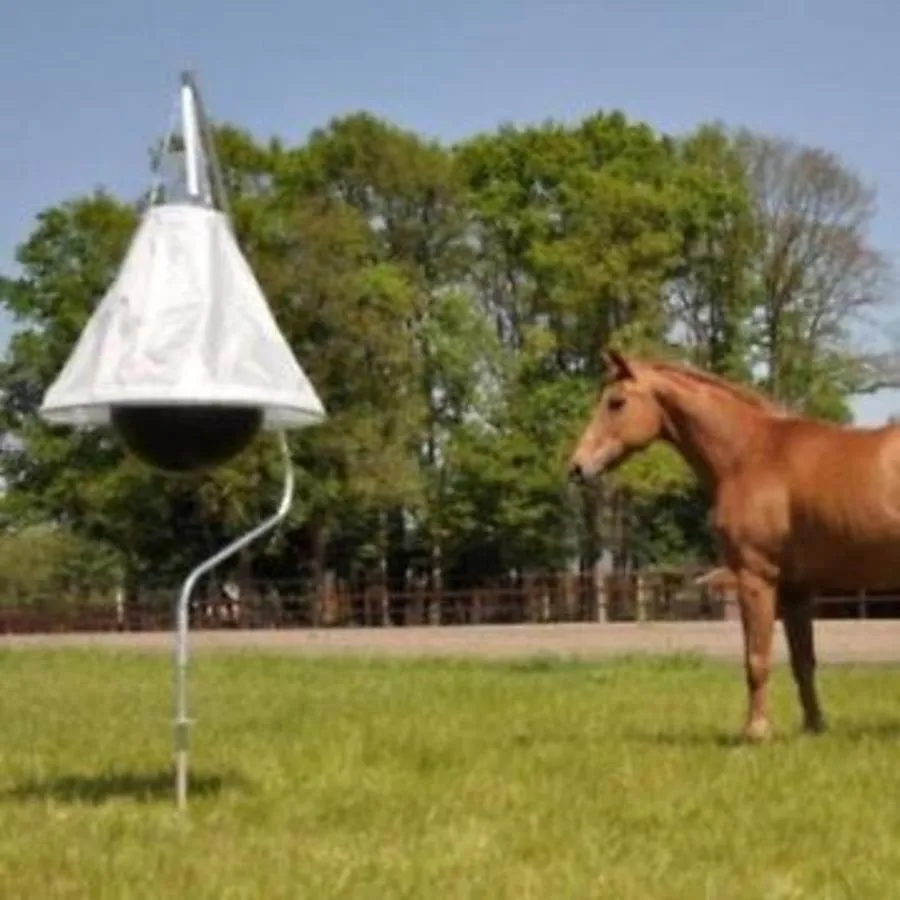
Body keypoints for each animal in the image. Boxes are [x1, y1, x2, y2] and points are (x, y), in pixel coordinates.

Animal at [569, 349, 900, 741]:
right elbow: (803, 662)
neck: (749, 453)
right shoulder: (795, 589)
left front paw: (755, 731)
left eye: (616, 402)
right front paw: (814, 726)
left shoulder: (754, 577)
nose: (577, 467)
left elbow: (756, 659)